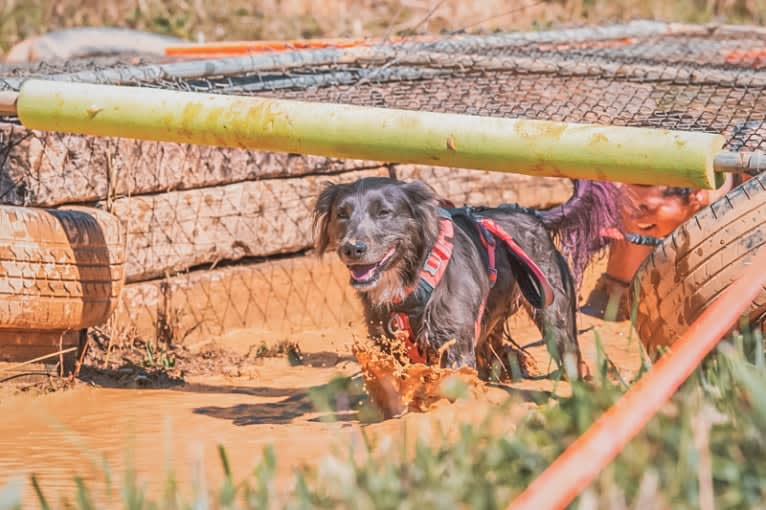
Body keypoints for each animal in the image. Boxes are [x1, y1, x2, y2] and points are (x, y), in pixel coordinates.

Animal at [316, 177, 620, 380]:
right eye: (341, 214)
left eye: (384, 212)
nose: (352, 248)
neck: (415, 279)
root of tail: (531, 213)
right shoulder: (389, 343)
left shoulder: (454, 340)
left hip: (554, 315)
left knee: (570, 356)